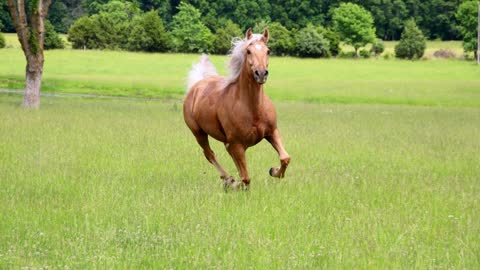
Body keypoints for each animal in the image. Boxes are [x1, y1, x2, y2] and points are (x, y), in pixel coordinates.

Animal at [183, 28, 288, 190]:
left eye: (268, 51)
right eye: (248, 51)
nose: (261, 73)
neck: (253, 109)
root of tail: (196, 86)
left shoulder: (272, 132)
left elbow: (285, 158)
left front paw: (274, 171)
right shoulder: (237, 144)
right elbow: (245, 178)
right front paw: (234, 183)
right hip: (198, 133)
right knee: (209, 154)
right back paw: (228, 179)